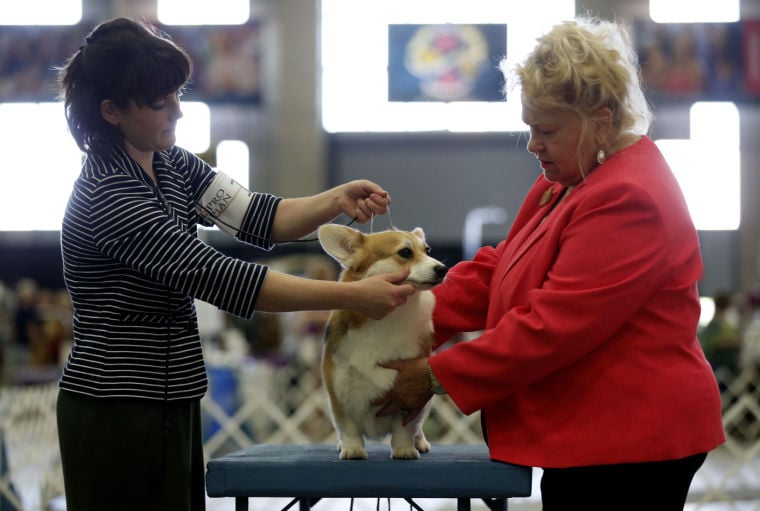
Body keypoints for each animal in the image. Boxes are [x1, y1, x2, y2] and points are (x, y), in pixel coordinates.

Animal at [318, 224, 448, 460]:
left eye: (427, 250)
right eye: (405, 252)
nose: (443, 269)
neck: (390, 317)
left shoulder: (410, 395)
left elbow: (404, 428)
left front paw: (404, 449)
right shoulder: (339, 391)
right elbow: (348, 426)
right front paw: (352, 449)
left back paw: (420, 442)